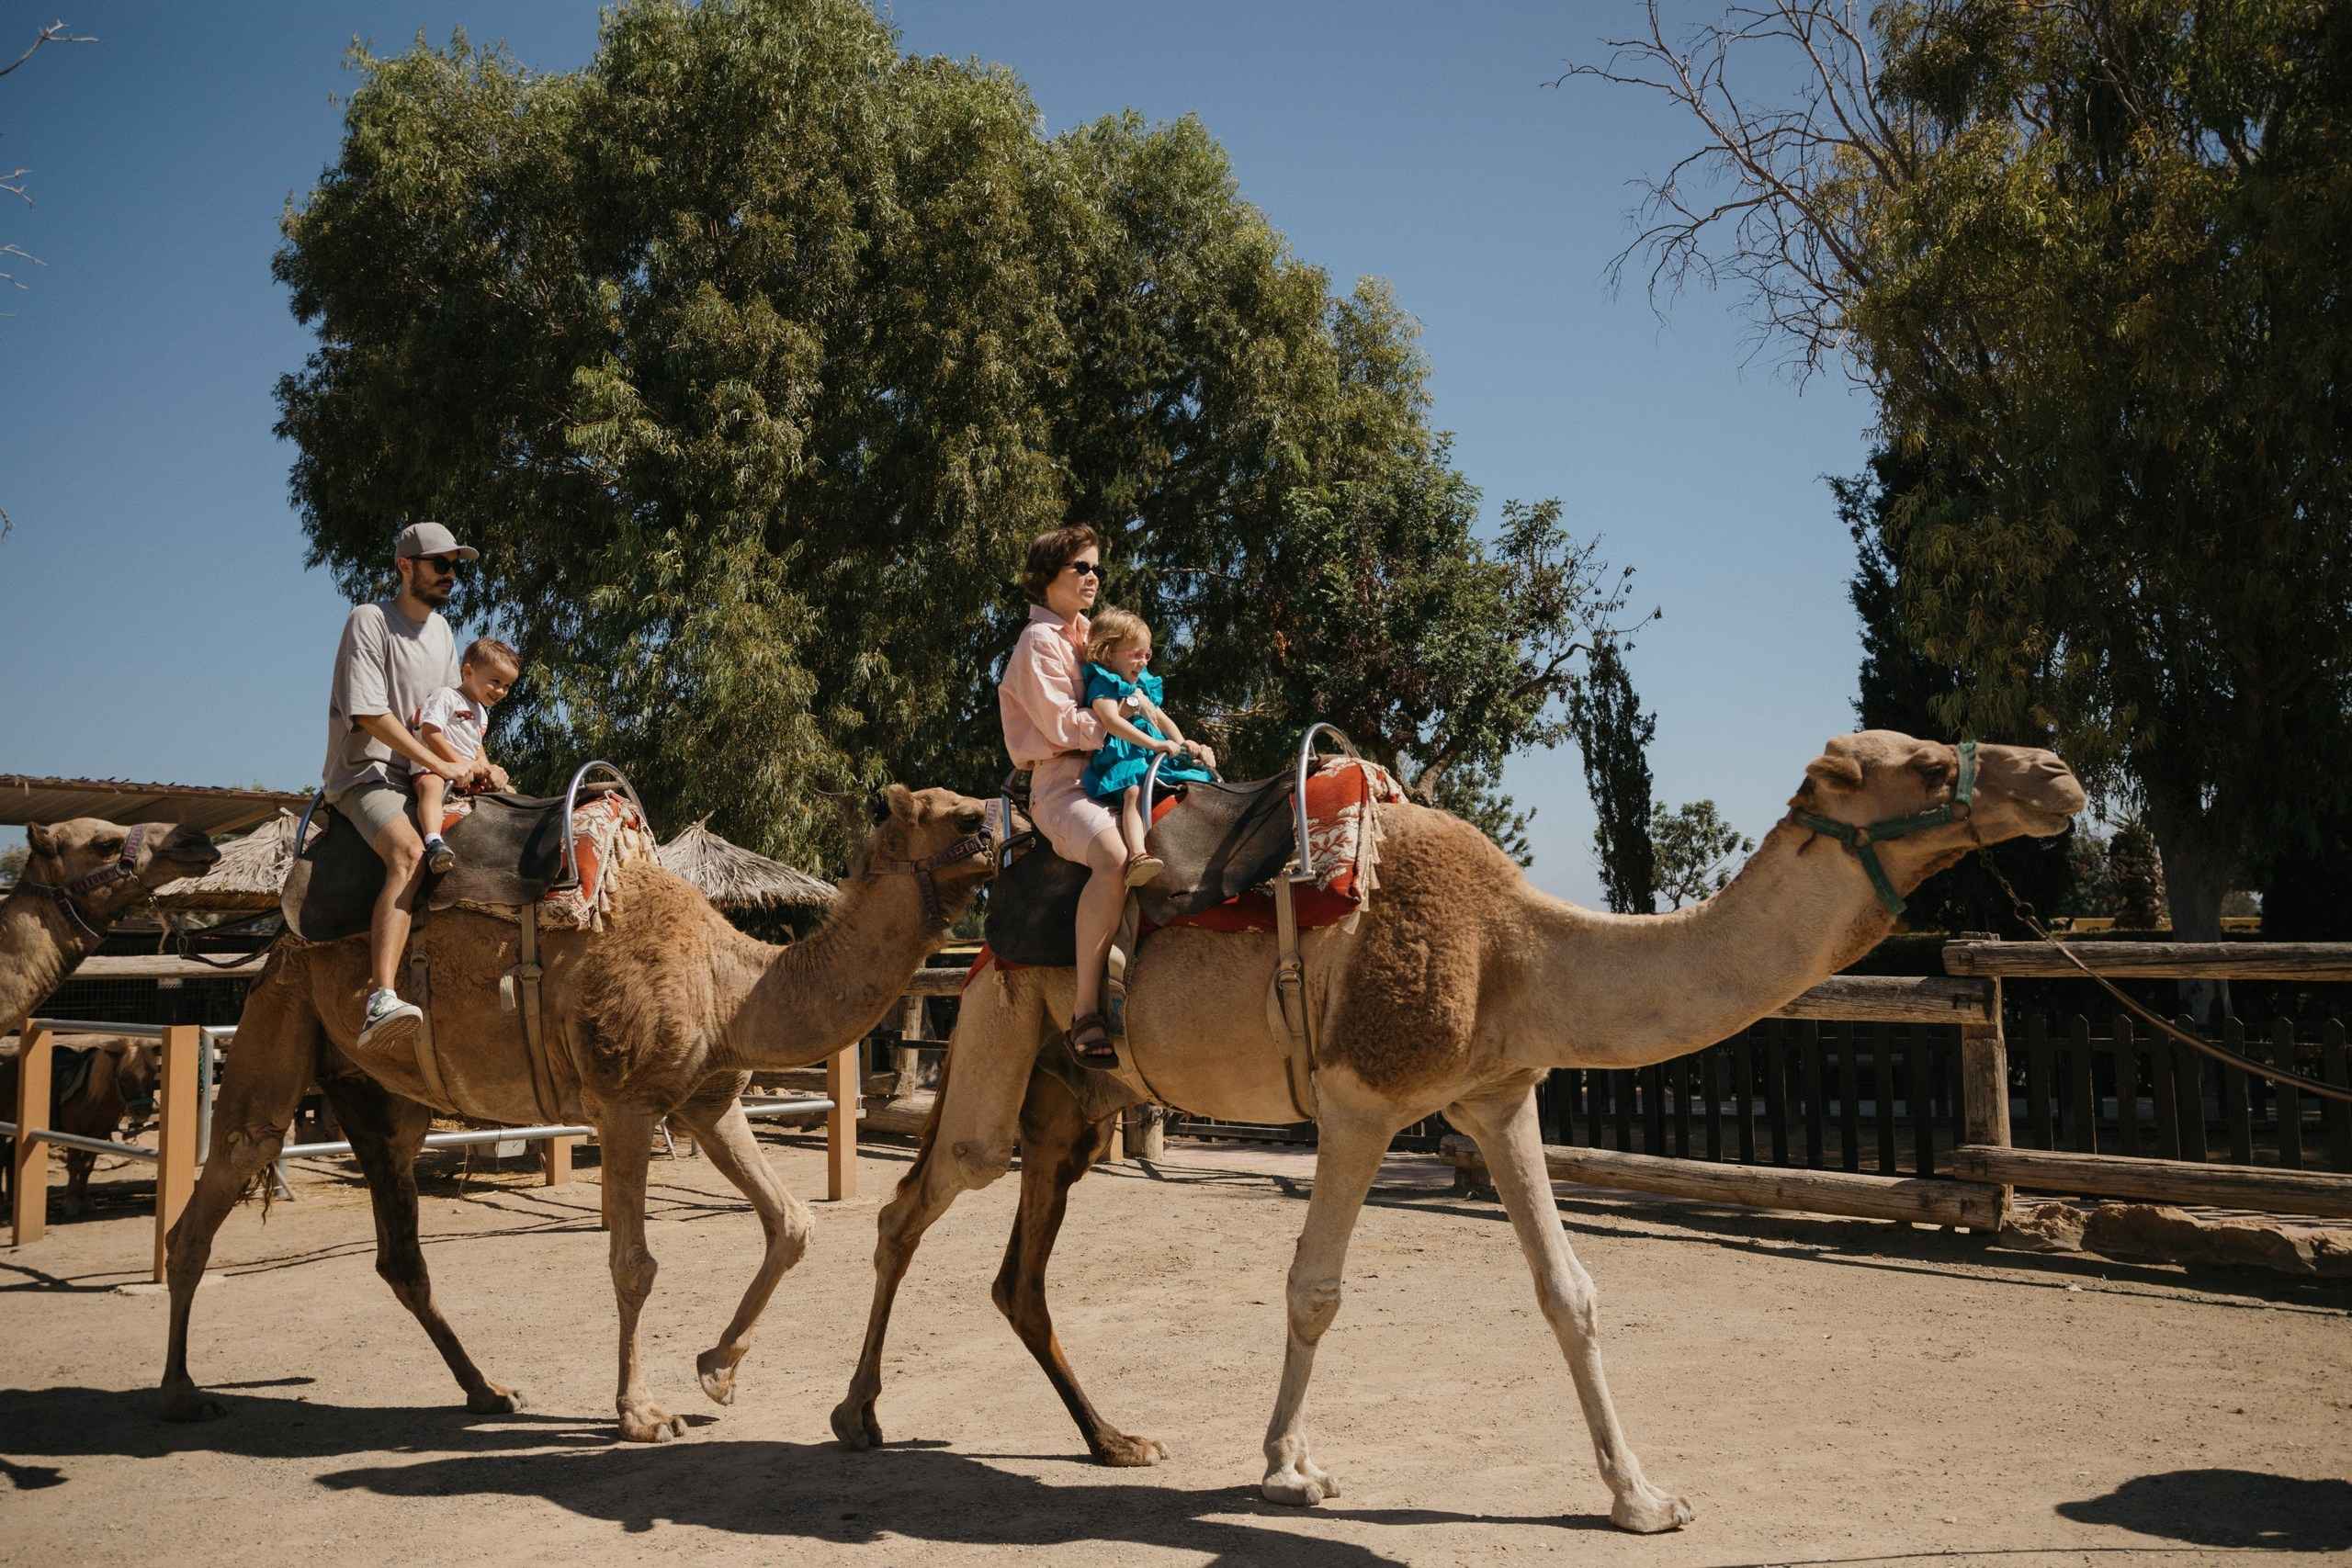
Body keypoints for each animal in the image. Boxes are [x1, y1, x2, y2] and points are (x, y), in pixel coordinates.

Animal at [159, 784, 995, 1443]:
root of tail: (283, 927)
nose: (996, 831)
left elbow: (791, 1221)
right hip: (282, 1004)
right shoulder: (625, 1099)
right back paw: (181, 1393)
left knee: (400, 1249)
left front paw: (717, 1371)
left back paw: (487, 1389)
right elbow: (635, 1263)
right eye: (955, 815)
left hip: (381, 1095)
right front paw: (643, 1413)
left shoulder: (707, 1099)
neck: (732, 983)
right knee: (225, 1174)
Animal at [833, 732, 2085, 1532]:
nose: (2060, 773)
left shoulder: (1500, 1093)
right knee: (910, 1203)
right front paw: (1288, 1472)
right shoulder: (1359, 1099)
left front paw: (1643, 1499)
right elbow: (1315, 1289)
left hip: (1073, 1105)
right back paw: (854, 1416)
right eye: (1928, 765)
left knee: (1018, 1273)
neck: (1513, 946)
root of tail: (993, 911)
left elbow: (1569, 1291)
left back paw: (1115, 1441)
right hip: (1002, 1032)